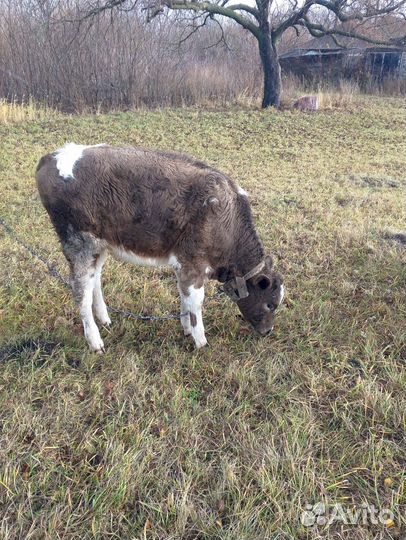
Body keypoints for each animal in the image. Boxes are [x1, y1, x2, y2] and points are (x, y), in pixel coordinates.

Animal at [35, 143, 286, 352]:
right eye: (270, 304)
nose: (268, 331)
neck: (226, 218)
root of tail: (51, 156)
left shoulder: (183, 264)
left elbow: (184, 298)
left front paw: (187, 330)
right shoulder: (193, 265)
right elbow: (195, 303)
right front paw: (201, 342)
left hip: (100, 245)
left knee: (94, 279)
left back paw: (105, 319)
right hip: (78, 244)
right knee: (80, 292)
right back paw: (95, 342)